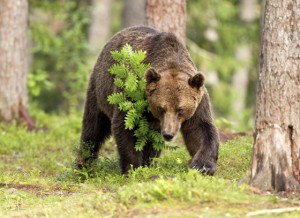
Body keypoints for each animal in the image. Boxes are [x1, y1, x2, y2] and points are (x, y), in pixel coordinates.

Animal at [76, 25, 219, 175]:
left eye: (180, 110)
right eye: (161, 108)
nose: (168, 134)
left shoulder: (199, 102)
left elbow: (200, 129)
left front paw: (202, 166)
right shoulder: (132, 93)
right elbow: (125, 126)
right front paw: (133, 168)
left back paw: (150, 163)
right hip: (101, 89)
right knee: (93, 127)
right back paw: (83, 164)